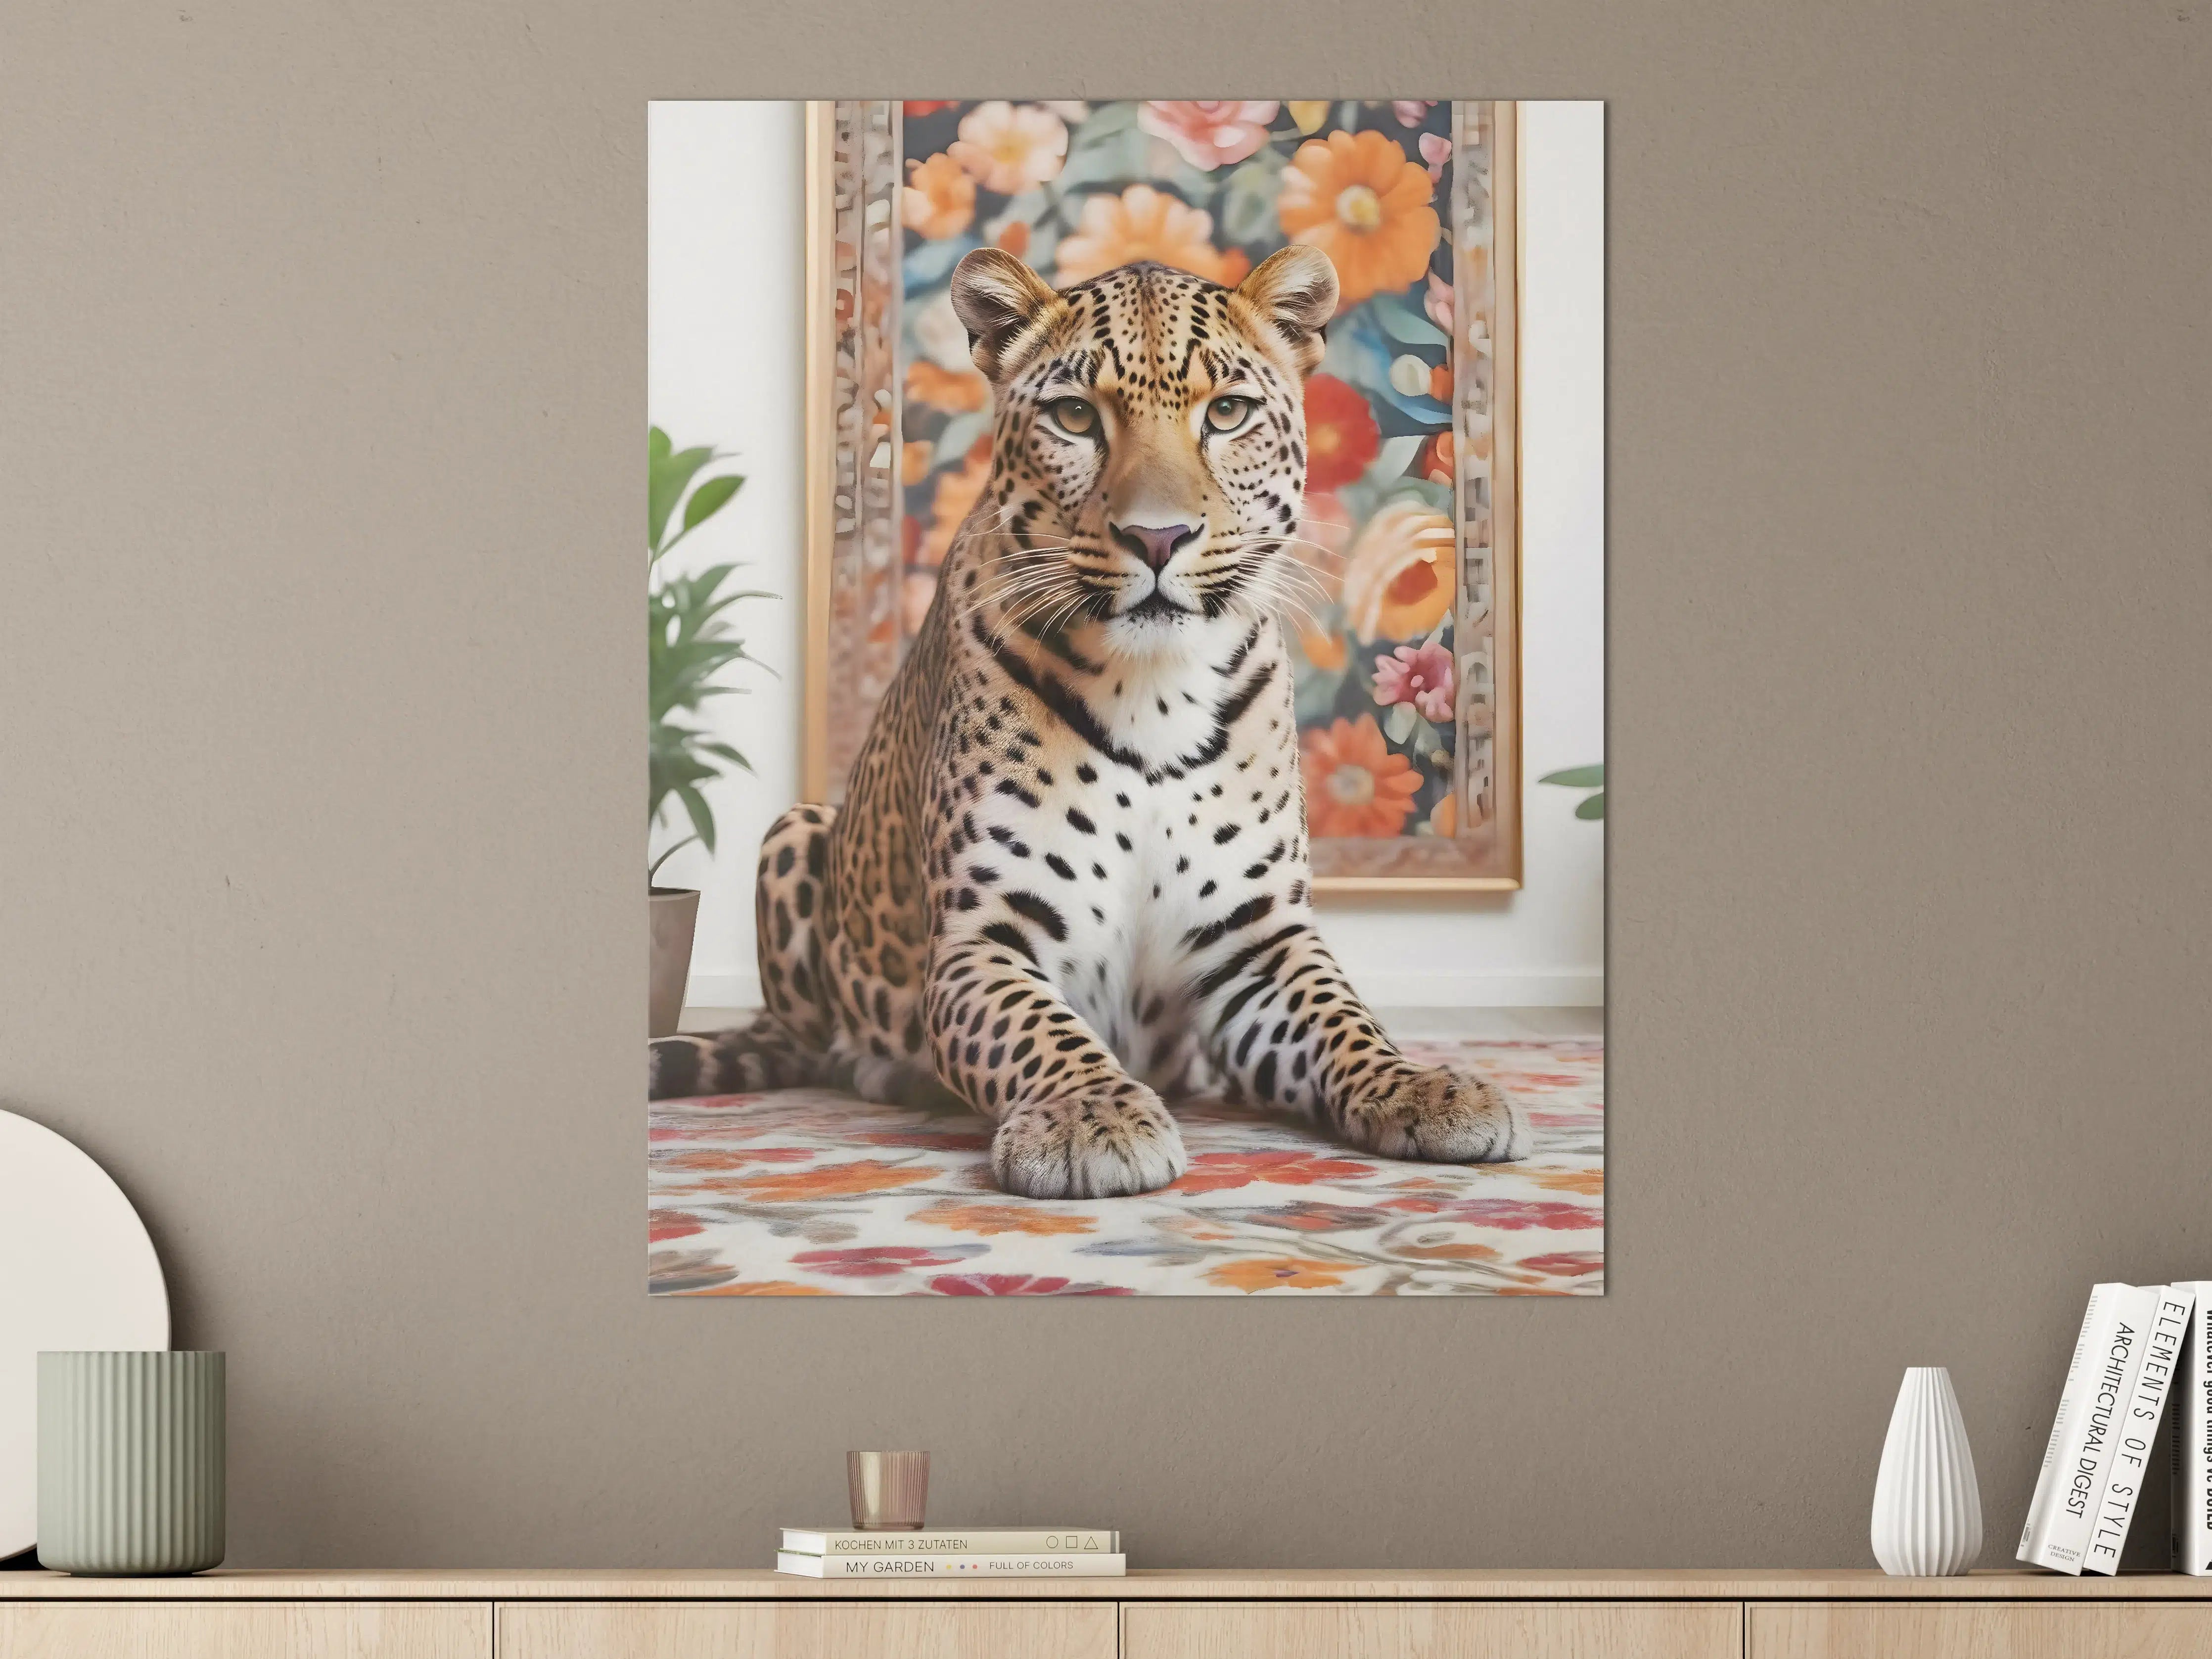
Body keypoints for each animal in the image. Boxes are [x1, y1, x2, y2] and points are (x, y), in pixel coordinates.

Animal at [649, 244, 1530, 1198]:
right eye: (1075, 416)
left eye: (1227, 412)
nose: (1159, 538)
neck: (1155, 692)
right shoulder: (983, 938)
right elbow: (1042, 1031)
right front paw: (1092, 1117)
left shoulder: (1257, 939)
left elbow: (1346, 1020)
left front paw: (1424, 1085)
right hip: (796, 829)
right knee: (814, 1039)